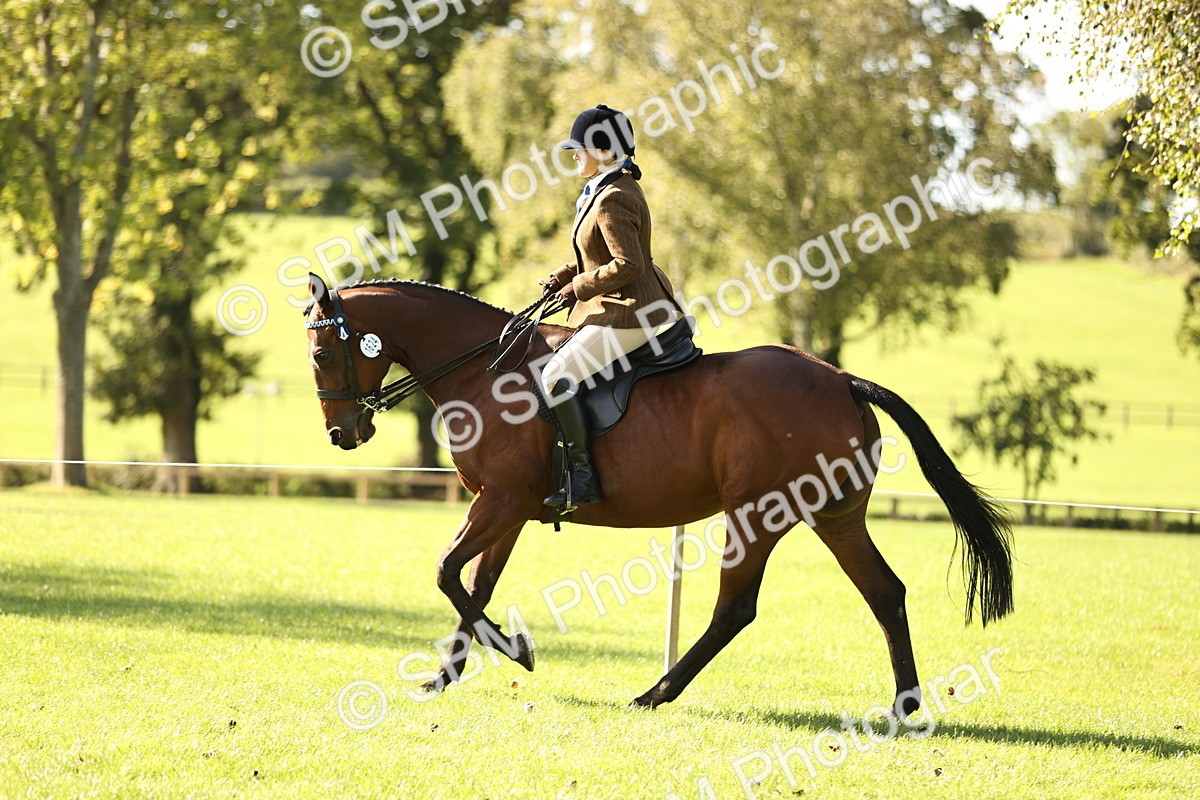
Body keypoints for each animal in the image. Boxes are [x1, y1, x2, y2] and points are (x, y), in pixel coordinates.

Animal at [302, 273, 1013, 716]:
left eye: (320, 354)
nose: (343, 434)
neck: (482, 370)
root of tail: (840, 379)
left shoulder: (500, 501)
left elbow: (448, 572)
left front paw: (516, 651)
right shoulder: (509, 509)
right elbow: (473, 586)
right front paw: (444, 676)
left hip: (757, 514)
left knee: (736, 608)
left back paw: (655, 693)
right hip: (834, 516)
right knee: (885, 592)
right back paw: (905, 705)